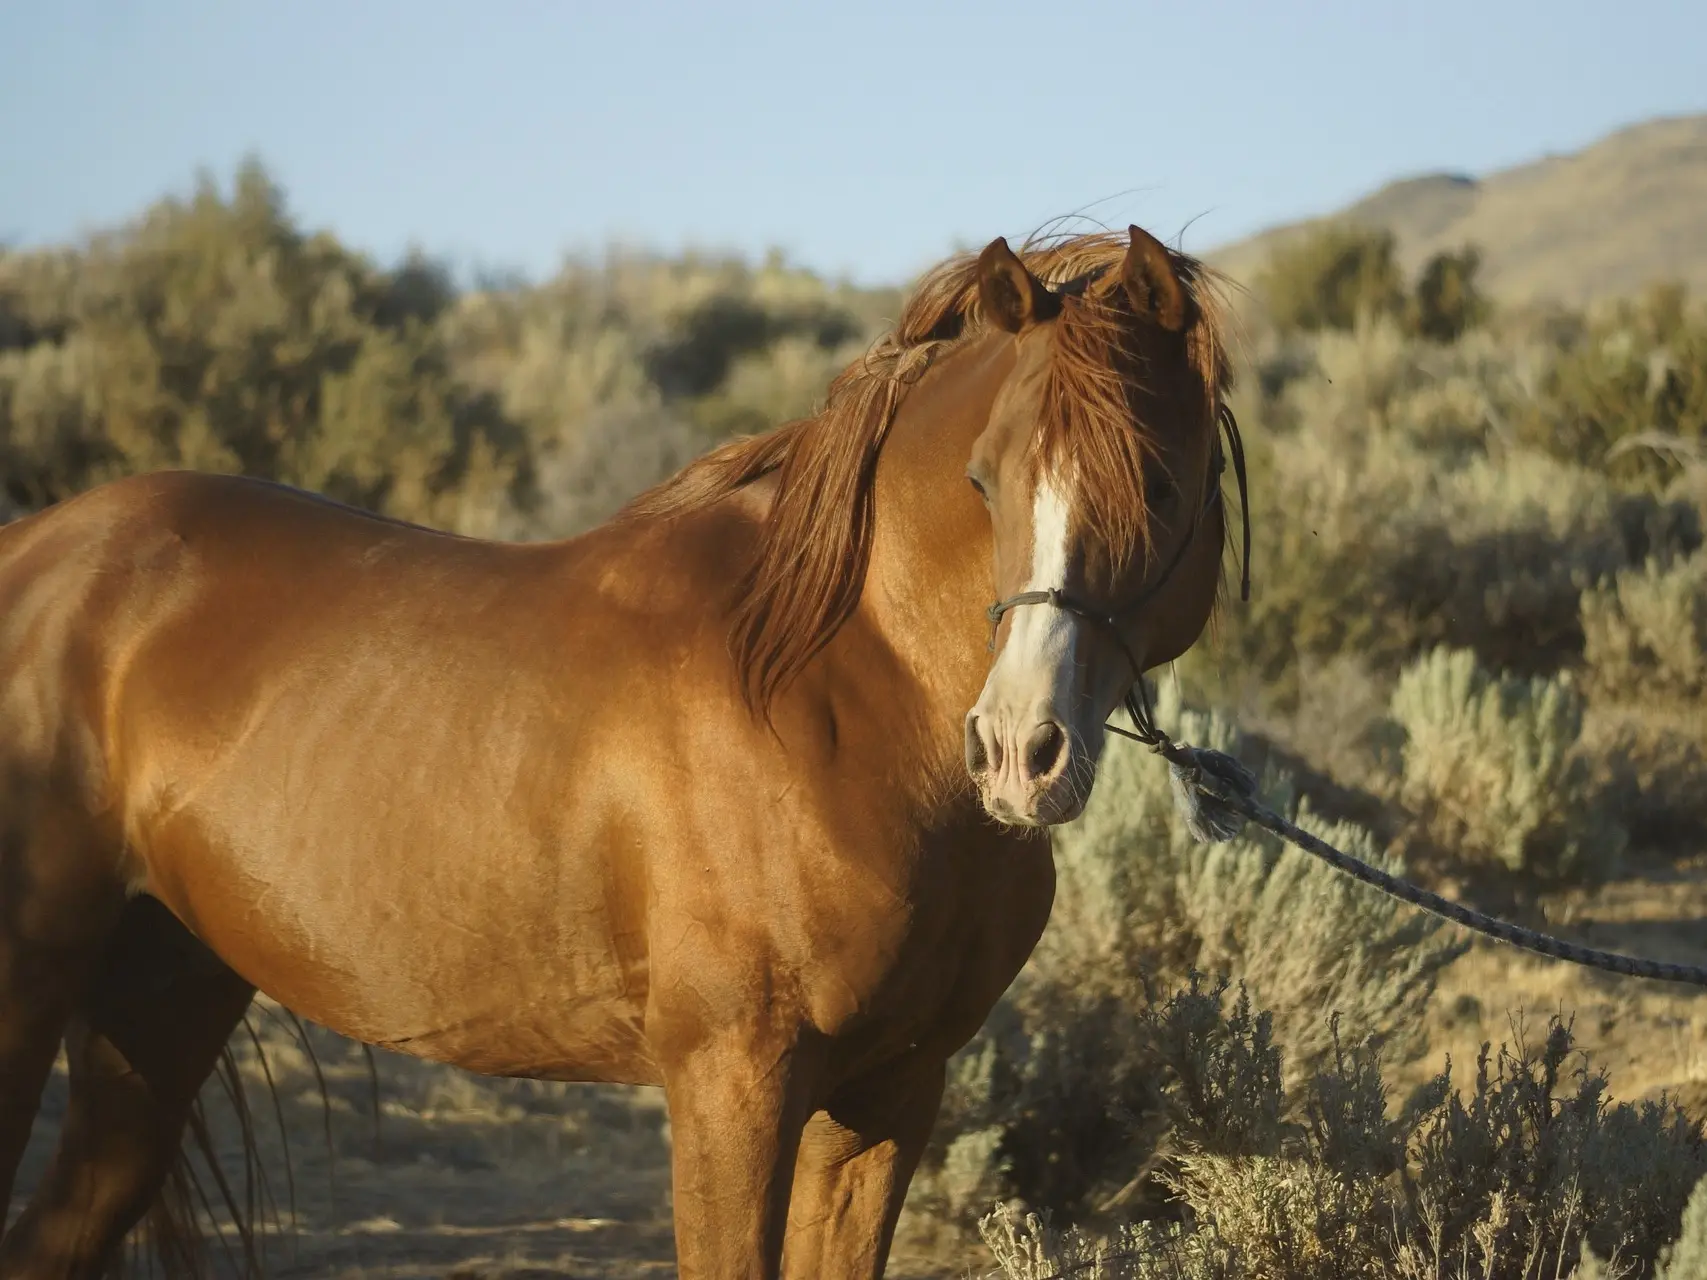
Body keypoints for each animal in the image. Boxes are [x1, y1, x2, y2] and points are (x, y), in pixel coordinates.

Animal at [0, 225, 1235, 1276]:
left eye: (1162, 483)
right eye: (984, 481)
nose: (1019, 751)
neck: (838, 697)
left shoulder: (890, 1094)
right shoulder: (732, 1084)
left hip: (160, 997)